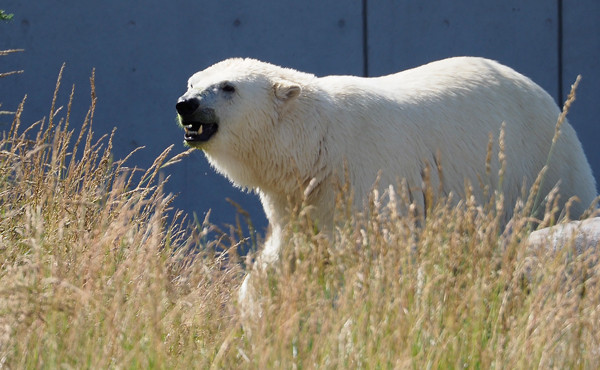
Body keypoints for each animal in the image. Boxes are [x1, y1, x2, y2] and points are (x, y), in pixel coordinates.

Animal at [176, 56, 596, 280]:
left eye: (228, 87)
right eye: (193, 81)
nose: (186, 104)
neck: (317, 142)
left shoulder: (366, 173)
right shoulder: (299, 195)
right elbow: (291, 246)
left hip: (543, 163)